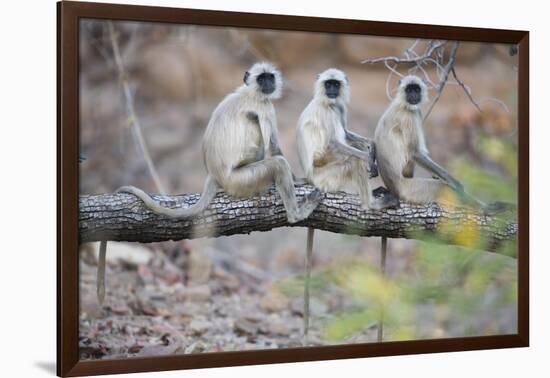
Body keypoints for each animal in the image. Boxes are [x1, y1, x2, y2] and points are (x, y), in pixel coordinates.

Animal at [97, 61, 324, 304]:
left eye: (269, 77)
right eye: (261, 79)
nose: (268, 84)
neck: (251, 93)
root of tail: (215, 174)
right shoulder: (265, 108)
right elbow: (274, 148)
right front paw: (298, 181)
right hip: (241, 179)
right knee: (275, 160)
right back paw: (296, 213)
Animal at [300, 68, 398, 336]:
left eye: (336, 84)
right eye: (328, 84)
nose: (333, 91)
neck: (329, 102)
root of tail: (310, 179)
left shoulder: (338, 108)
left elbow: (349, 134)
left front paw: (372, 150)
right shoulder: (328, 110)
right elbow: (334, 142)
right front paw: (368, 158)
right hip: (326, 175)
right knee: (347, 159)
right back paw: (371, 204)